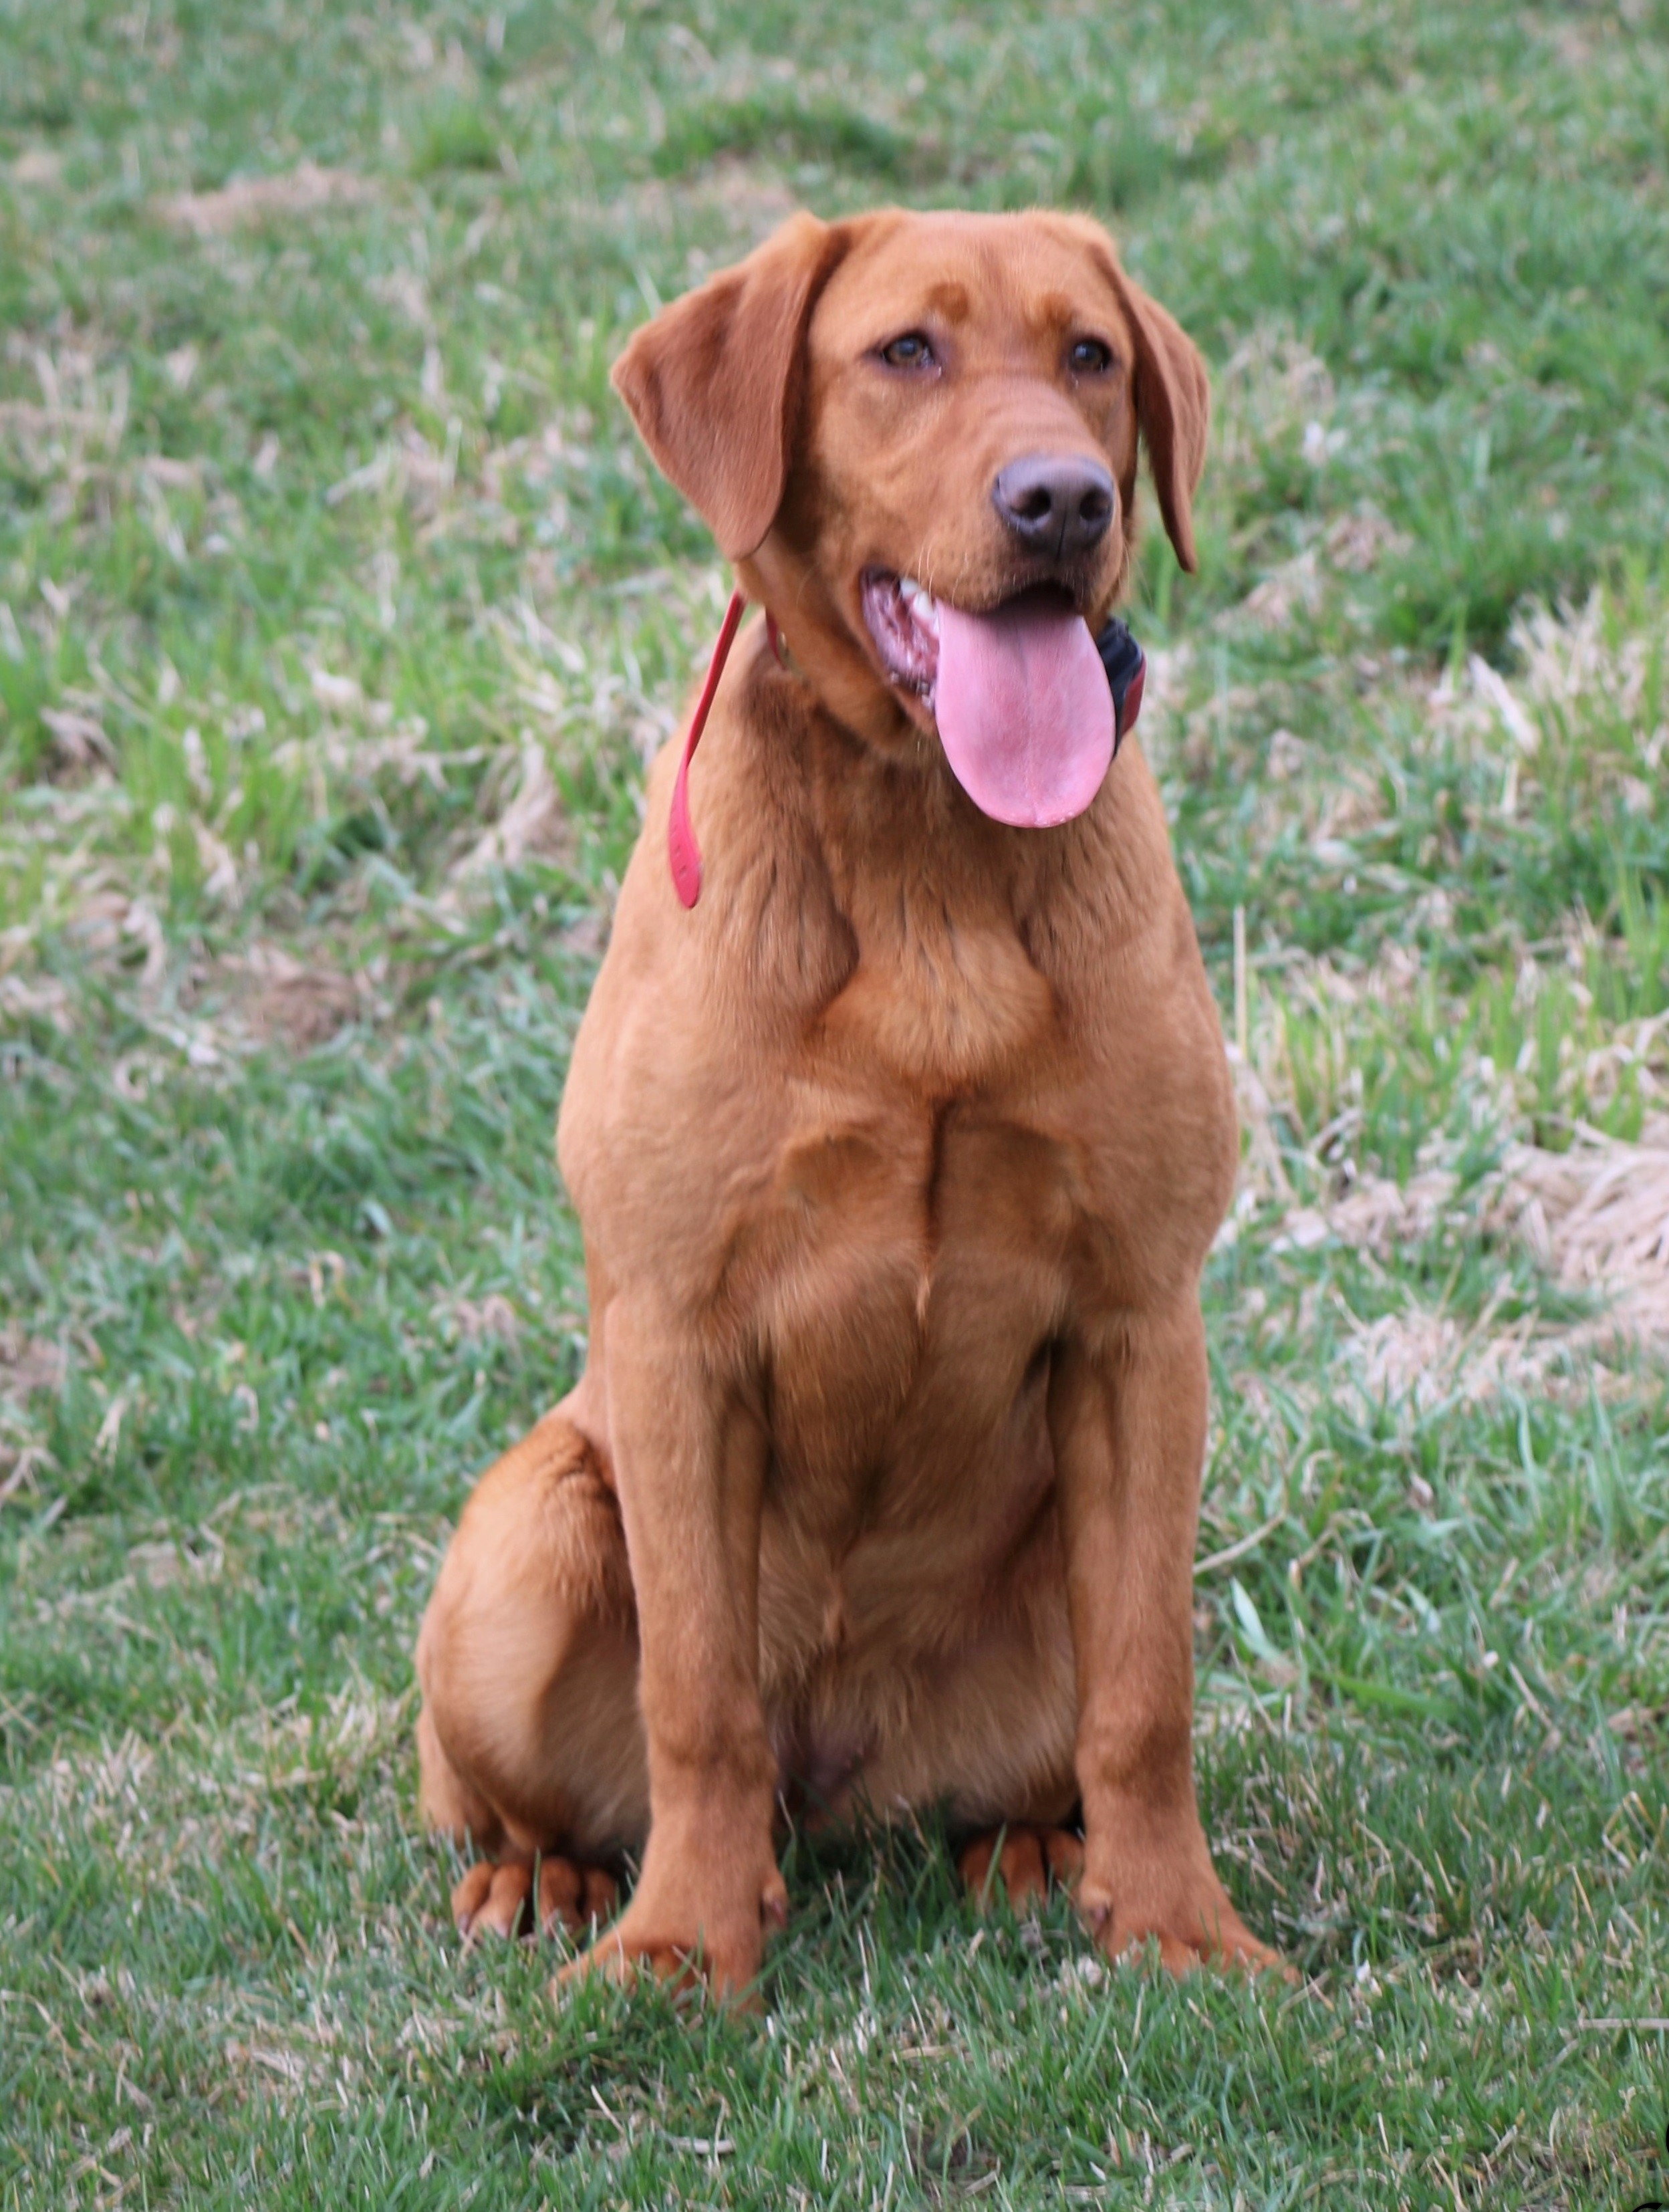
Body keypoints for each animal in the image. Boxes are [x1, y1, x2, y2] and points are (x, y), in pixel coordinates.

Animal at [415, 208, 1282, 1999]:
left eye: (1090, 356)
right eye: (904, 352)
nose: (1060, 502)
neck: (927, 852)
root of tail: (839, 1788)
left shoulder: (1142, 1325)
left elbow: (1147, 1692)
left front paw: (1175, 1922)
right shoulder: (676, 1332)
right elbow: (695, 1697)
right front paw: (685, 1944)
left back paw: (1034, 1847)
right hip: (526, 1533)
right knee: (534, 1773)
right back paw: (546, 1872)